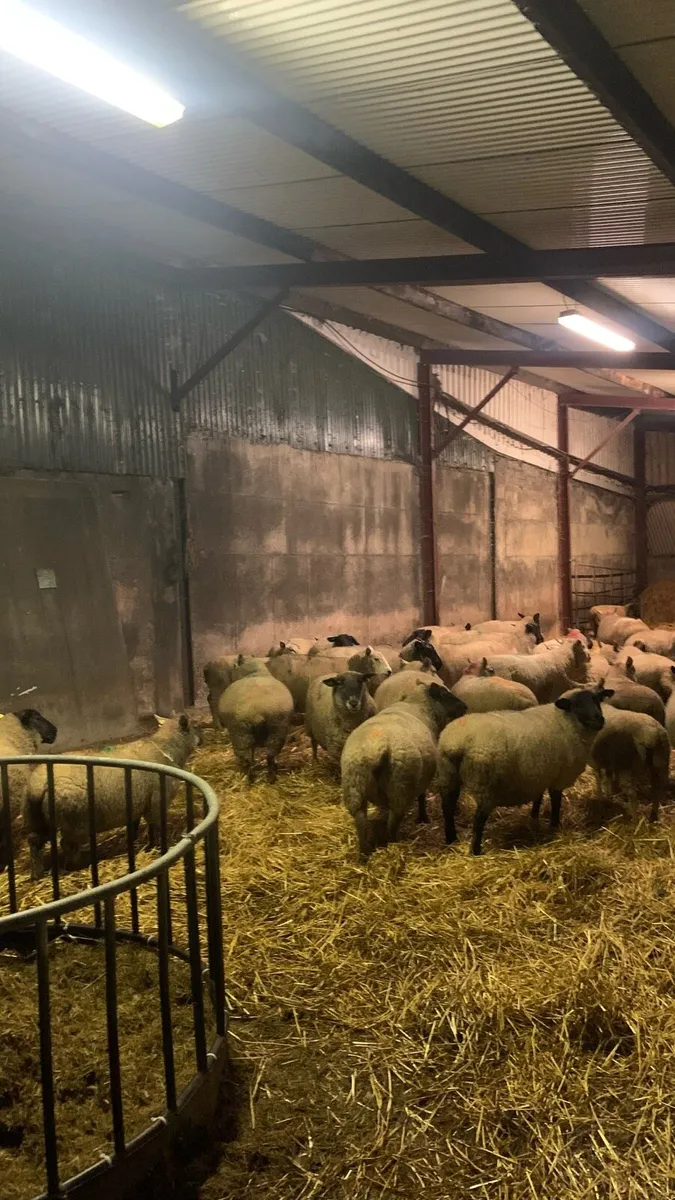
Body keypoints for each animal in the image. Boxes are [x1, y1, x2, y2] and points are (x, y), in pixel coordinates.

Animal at [24, 715, 199, 879]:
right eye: (194, 726)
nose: (201, 738)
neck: (166, 748)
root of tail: (39, 785)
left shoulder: (136, 804)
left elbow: (134, 826)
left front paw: (134, 841)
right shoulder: (155, 804)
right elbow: (154, 828)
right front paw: (154, 847)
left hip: (36, 817)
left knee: (34, 841)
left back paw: (36, 873)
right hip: (74, 821)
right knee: (67, 844)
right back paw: (78, 865)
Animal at [341, 683, 467, 857]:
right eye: (444, 693)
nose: (465, 706)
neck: (418, 704)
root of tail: (375, 750)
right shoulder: (422, 777)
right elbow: (421, 796)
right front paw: (423, 818)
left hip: (354, 787)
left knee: (361, 822)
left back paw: (364, 854)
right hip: (400, 788)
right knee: (392, 823)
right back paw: (393, 843)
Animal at [437, 687, 612, 855]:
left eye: (597, 700)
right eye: (576, 705)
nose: (599, 719)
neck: (565, 721)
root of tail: (455, 742)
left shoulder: (539, 773)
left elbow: (538, 798)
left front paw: (534, 818)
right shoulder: (559, 777)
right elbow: (556, 802)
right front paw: (555, 826)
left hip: (448, 776)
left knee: (447, 809)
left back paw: (451, 839)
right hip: (485, 785)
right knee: (478, 820)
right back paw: (476, 851)